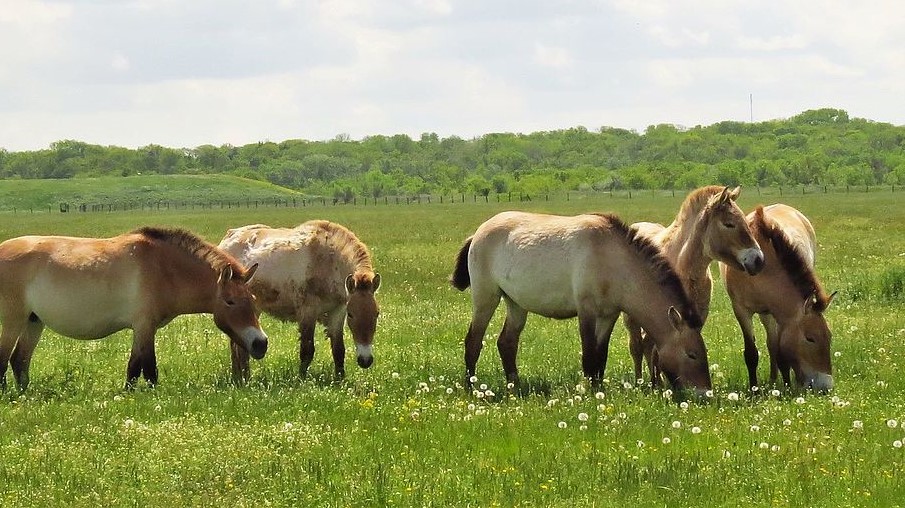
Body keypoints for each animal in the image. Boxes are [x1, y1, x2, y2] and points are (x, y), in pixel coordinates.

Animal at [0, 226, 267, 390]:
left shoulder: (142, 329)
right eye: (230, 301)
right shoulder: (145, 326)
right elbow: (148, 368)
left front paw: (128, 394)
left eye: (253, 299)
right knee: (5, 358)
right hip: (14, 320)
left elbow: (133, 367)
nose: (261, 344)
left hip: (33, 321)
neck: (164, 268)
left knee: (19, 360)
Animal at [218, 221, 381, 381]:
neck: (329, 260)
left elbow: (339, 350)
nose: (365, 361)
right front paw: (302, 379)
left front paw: (340, 379)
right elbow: (307, 350)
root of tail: (227, 238)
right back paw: (244, 378)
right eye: (351, 314)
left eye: (377, 314)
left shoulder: (337, 312)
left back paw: (239, 377)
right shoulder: (308, 312)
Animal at [451, 210, 712, 393]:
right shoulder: (587, 311)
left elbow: (600, 356)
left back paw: (515, 385)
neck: (614, 262)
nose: (704, 393)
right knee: (473, 342)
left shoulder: (608, 315)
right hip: (486, 298)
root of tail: (479, 232)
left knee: (507, 343)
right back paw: (471, 388)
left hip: (516, 304)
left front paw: (598, 388)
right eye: (692, 354)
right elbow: (588, 355)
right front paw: (589, 394)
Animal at [624, 186, 765, 385]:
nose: (758, 260)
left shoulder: (695, 318)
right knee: (637, 347)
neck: (684, 268)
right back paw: (640, 382)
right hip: (630, 319)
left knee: (647, 346)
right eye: (729, 224)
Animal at [720, 204, 836, 391]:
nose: (826, 386)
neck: (762, 272)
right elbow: (751, 353)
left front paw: (787, 386)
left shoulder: (780, 315)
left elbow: (781, 352)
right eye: (810, 338)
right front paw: (754, 389)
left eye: (829, 336)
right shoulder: (741, 310)